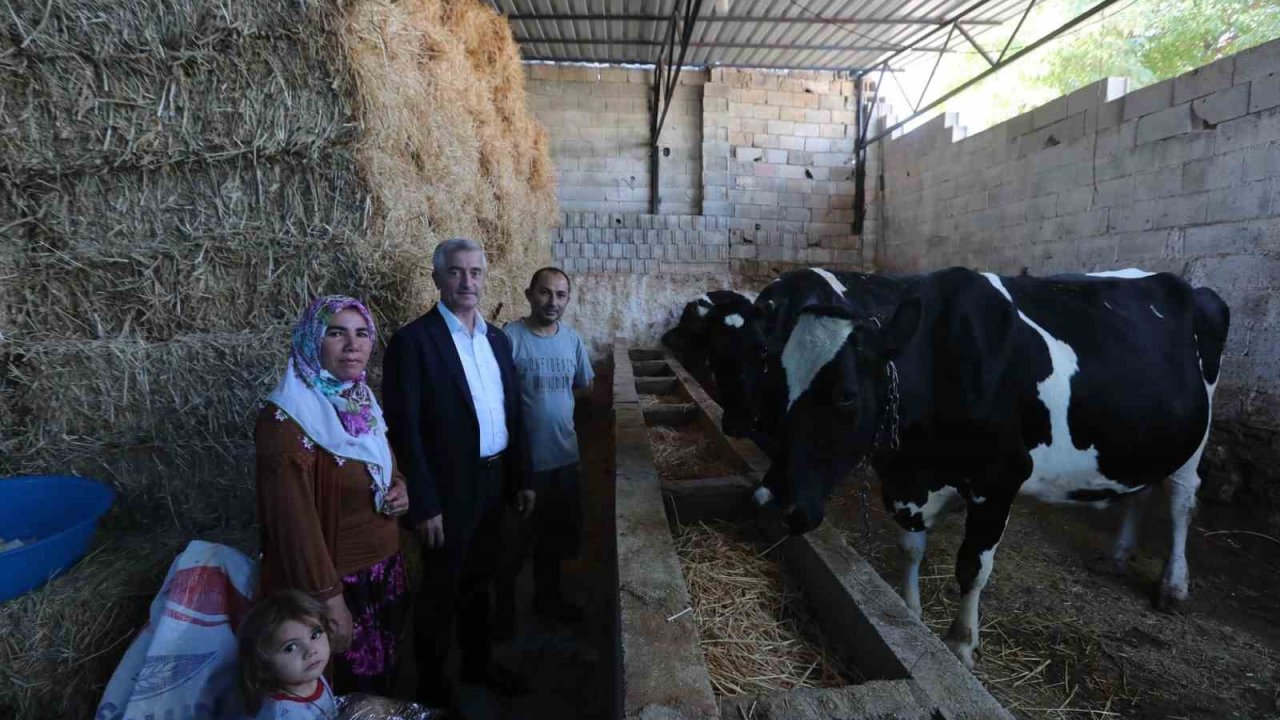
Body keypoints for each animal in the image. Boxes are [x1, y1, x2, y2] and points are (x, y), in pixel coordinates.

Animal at [762, 266, 1223, 666]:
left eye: (847, 395)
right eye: (777, 381)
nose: (775, 499)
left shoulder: (999, 481)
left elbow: (972, 567)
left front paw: (962, 643)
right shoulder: (911, 482)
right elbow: (910, 548)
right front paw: (912, 612)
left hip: (1193, 441)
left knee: (1181, 500)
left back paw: (1173, 585)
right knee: (1140, 491)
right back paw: (1119, 554)